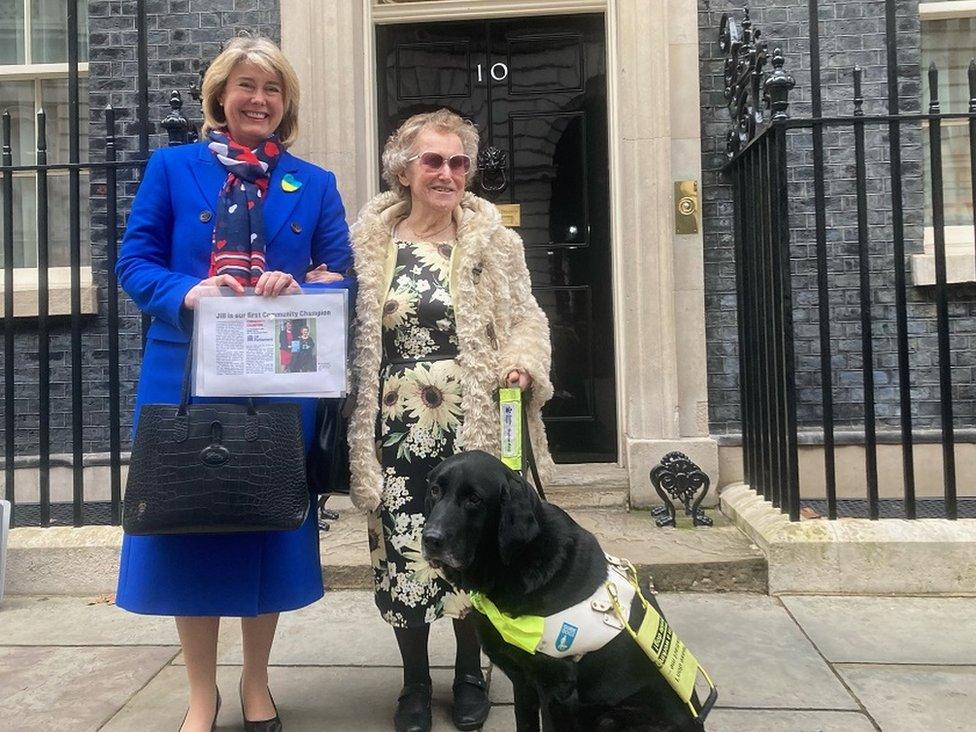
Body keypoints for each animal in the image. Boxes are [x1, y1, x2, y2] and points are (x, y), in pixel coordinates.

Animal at [424, 452, 704, 732]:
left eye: (474, 499)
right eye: (435, 490)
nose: (430, 539)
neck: (517, 562)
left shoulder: (556, 689)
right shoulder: (523, 682)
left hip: (611, 717)